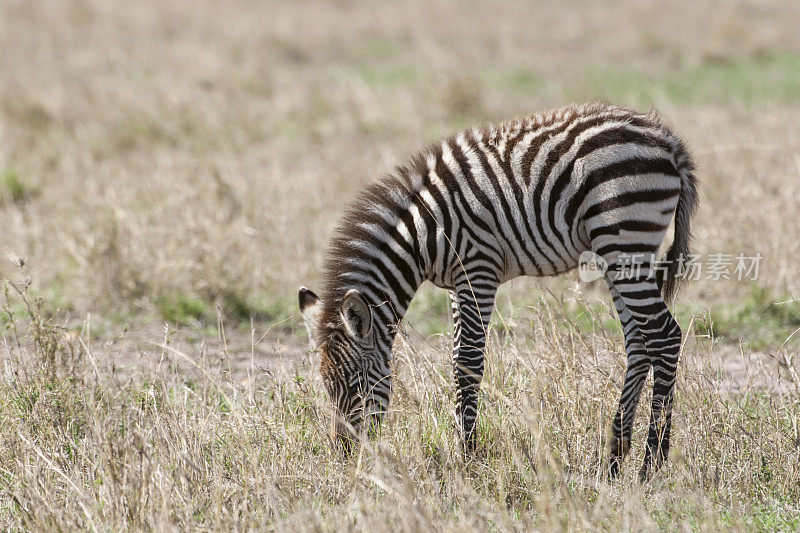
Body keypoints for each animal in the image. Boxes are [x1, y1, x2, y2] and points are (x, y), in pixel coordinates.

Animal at [296, 101, 696, 478]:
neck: (424, 235)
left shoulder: (478, 268)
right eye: (328, 389)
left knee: (664, 335)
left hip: (624, 235)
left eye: (357, 385)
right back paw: (613, 461)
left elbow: (468, 362)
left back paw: (651, 465)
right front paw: (466, 450)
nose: (345, 456)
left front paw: (468, 457)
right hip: (620, 252)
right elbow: (457, 358)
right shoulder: (456, 283)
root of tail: (665, 138)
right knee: (638, 341)